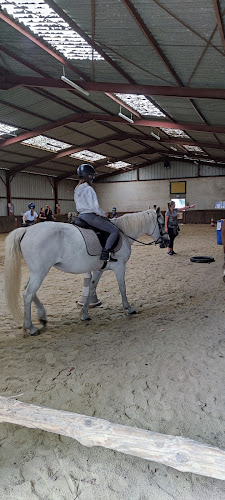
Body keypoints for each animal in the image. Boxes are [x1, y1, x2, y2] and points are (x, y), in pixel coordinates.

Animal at [4, 207, 168, 336]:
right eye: (161, 223)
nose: (166, 241)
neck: (123, 233)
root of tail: (26, 230)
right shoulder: (120, 266)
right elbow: (122, 287)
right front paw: (129, 308)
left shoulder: (99, 269)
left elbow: (91, 289)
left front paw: (84, 314)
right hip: (40, 272)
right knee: (28, 294)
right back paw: (31, 328)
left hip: (37, 272)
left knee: (29, 291)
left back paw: (42, 318)